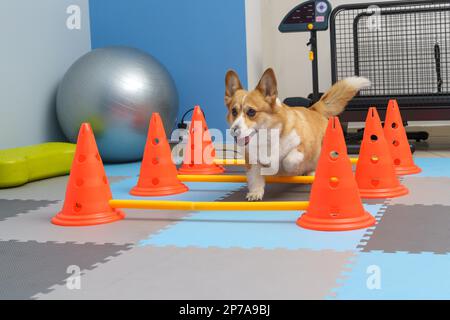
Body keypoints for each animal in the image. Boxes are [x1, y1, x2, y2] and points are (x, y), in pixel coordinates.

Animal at [224, 68, 370, 200]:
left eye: (251, 112)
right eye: (234, 111)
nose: (234, 130)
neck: (267, 138)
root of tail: (314, 109)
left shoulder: (301, 147)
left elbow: (288, 160)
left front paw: (286, 170)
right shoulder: (252, 161)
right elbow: (255, 178)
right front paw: (255, 193)